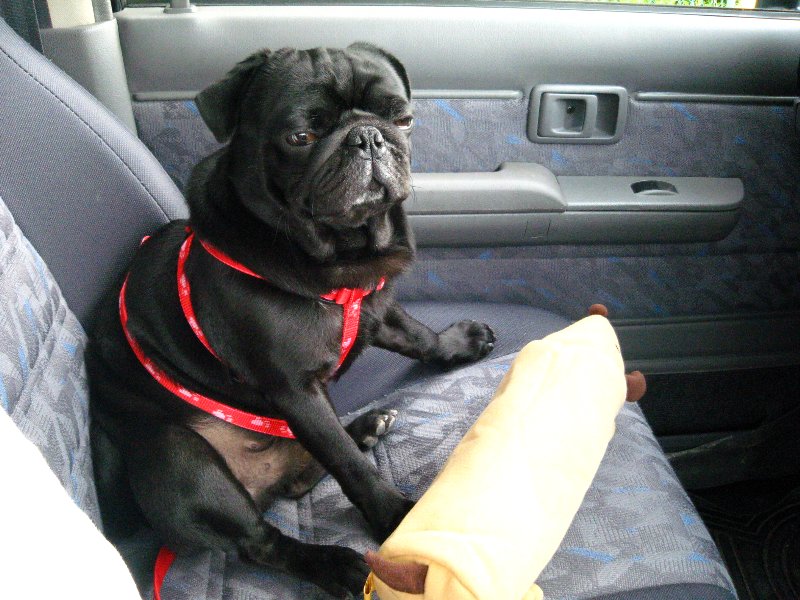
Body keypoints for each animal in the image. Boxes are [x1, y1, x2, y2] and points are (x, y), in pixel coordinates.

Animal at [88, 43, 495, 598]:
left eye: (403, 119)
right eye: (300, 137)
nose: (368, 136)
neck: (338, 255)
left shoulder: (375, 310)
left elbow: (418, 337)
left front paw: (460, 343)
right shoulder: (295, 389)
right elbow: (350, 467)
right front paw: (396, 519)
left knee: (311, 465)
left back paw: (366, 425)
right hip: (179, 459)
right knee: (264, 539)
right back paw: (335, 564)